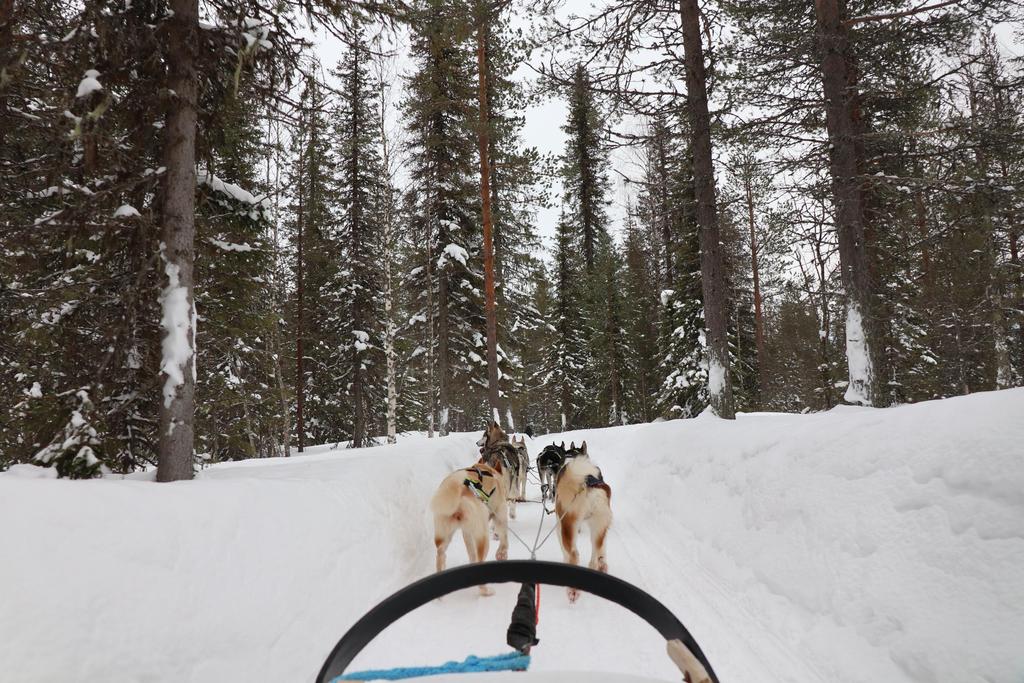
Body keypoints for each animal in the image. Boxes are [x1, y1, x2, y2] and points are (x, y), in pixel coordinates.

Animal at [430, 462, 509, 593]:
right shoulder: (500, 513)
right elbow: (504, 538)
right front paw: (502, 554)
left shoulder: (466, 532)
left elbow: (471, 553)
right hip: (482, 536)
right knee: (480, 559)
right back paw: (486, 591)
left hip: (444, 534)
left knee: (440, 553)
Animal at [557, 440, 610, 602]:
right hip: (599, 526)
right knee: (596, 554)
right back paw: (599, 567)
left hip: (567, 527)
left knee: (574, 554)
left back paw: (572, 591)